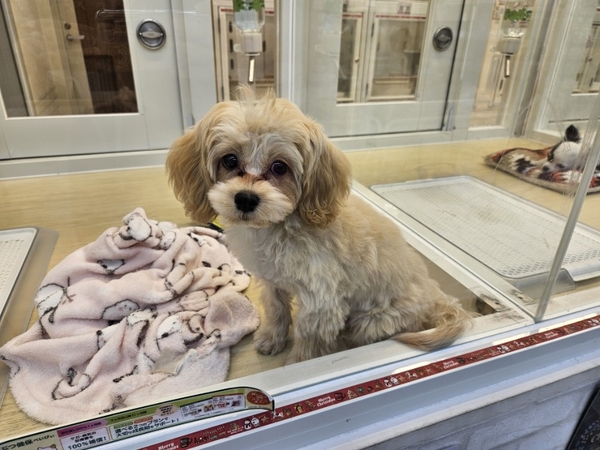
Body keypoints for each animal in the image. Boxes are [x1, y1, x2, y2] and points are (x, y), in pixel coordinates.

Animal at [166, 88, 472, 364]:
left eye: (280, 167)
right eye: (230, 160)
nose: (246, 198)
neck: (281, 226)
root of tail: (433, 295)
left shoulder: (320, 301)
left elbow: (309, 339)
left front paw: (299, 363)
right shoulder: (273, 282)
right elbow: (277, 310)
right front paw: (272, 339)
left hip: (372, 321)